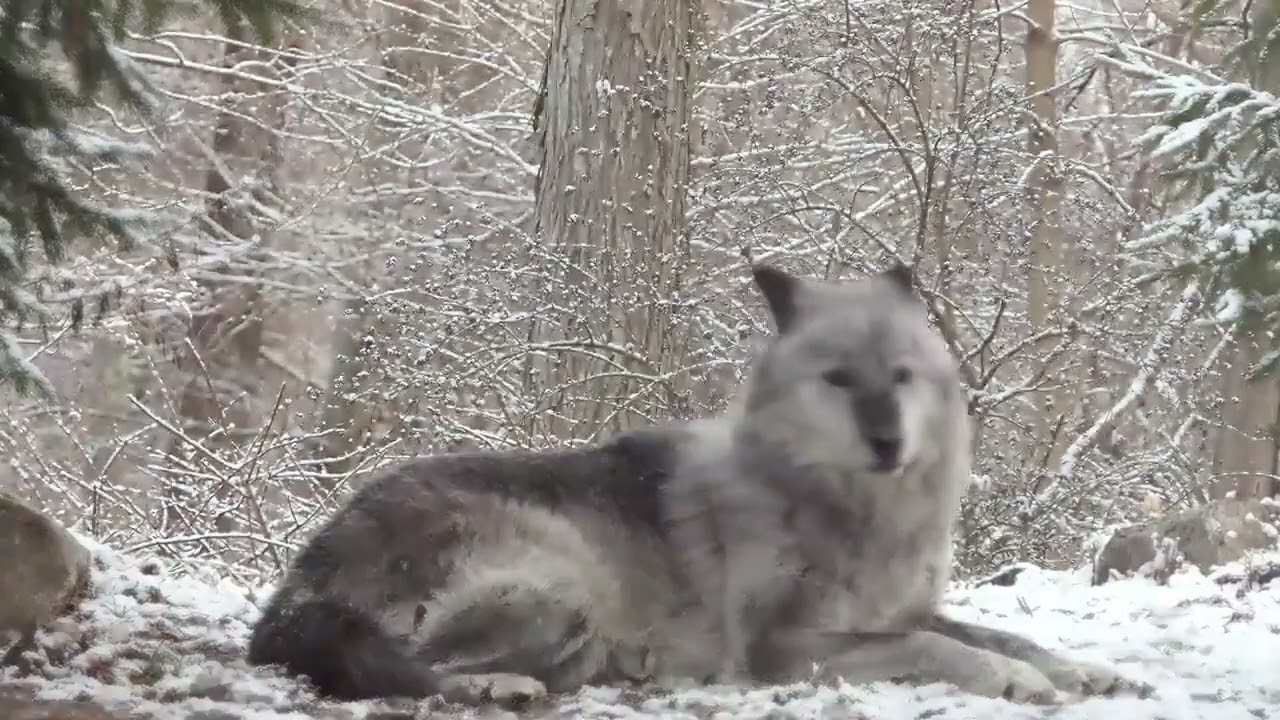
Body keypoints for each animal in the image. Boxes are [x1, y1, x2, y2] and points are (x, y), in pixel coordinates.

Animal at [247, 264, 1143, 705]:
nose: (888, 441)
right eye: (838, 380)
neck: (844, 507)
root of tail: (297, 586)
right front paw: (1020, 682)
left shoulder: (902, 609)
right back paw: (499, 685)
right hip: (562, 586)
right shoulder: (786, 646)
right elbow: (940, 647)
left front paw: (1077, 669)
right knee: (407, 666)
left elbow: (995, 632)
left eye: (901, 377)